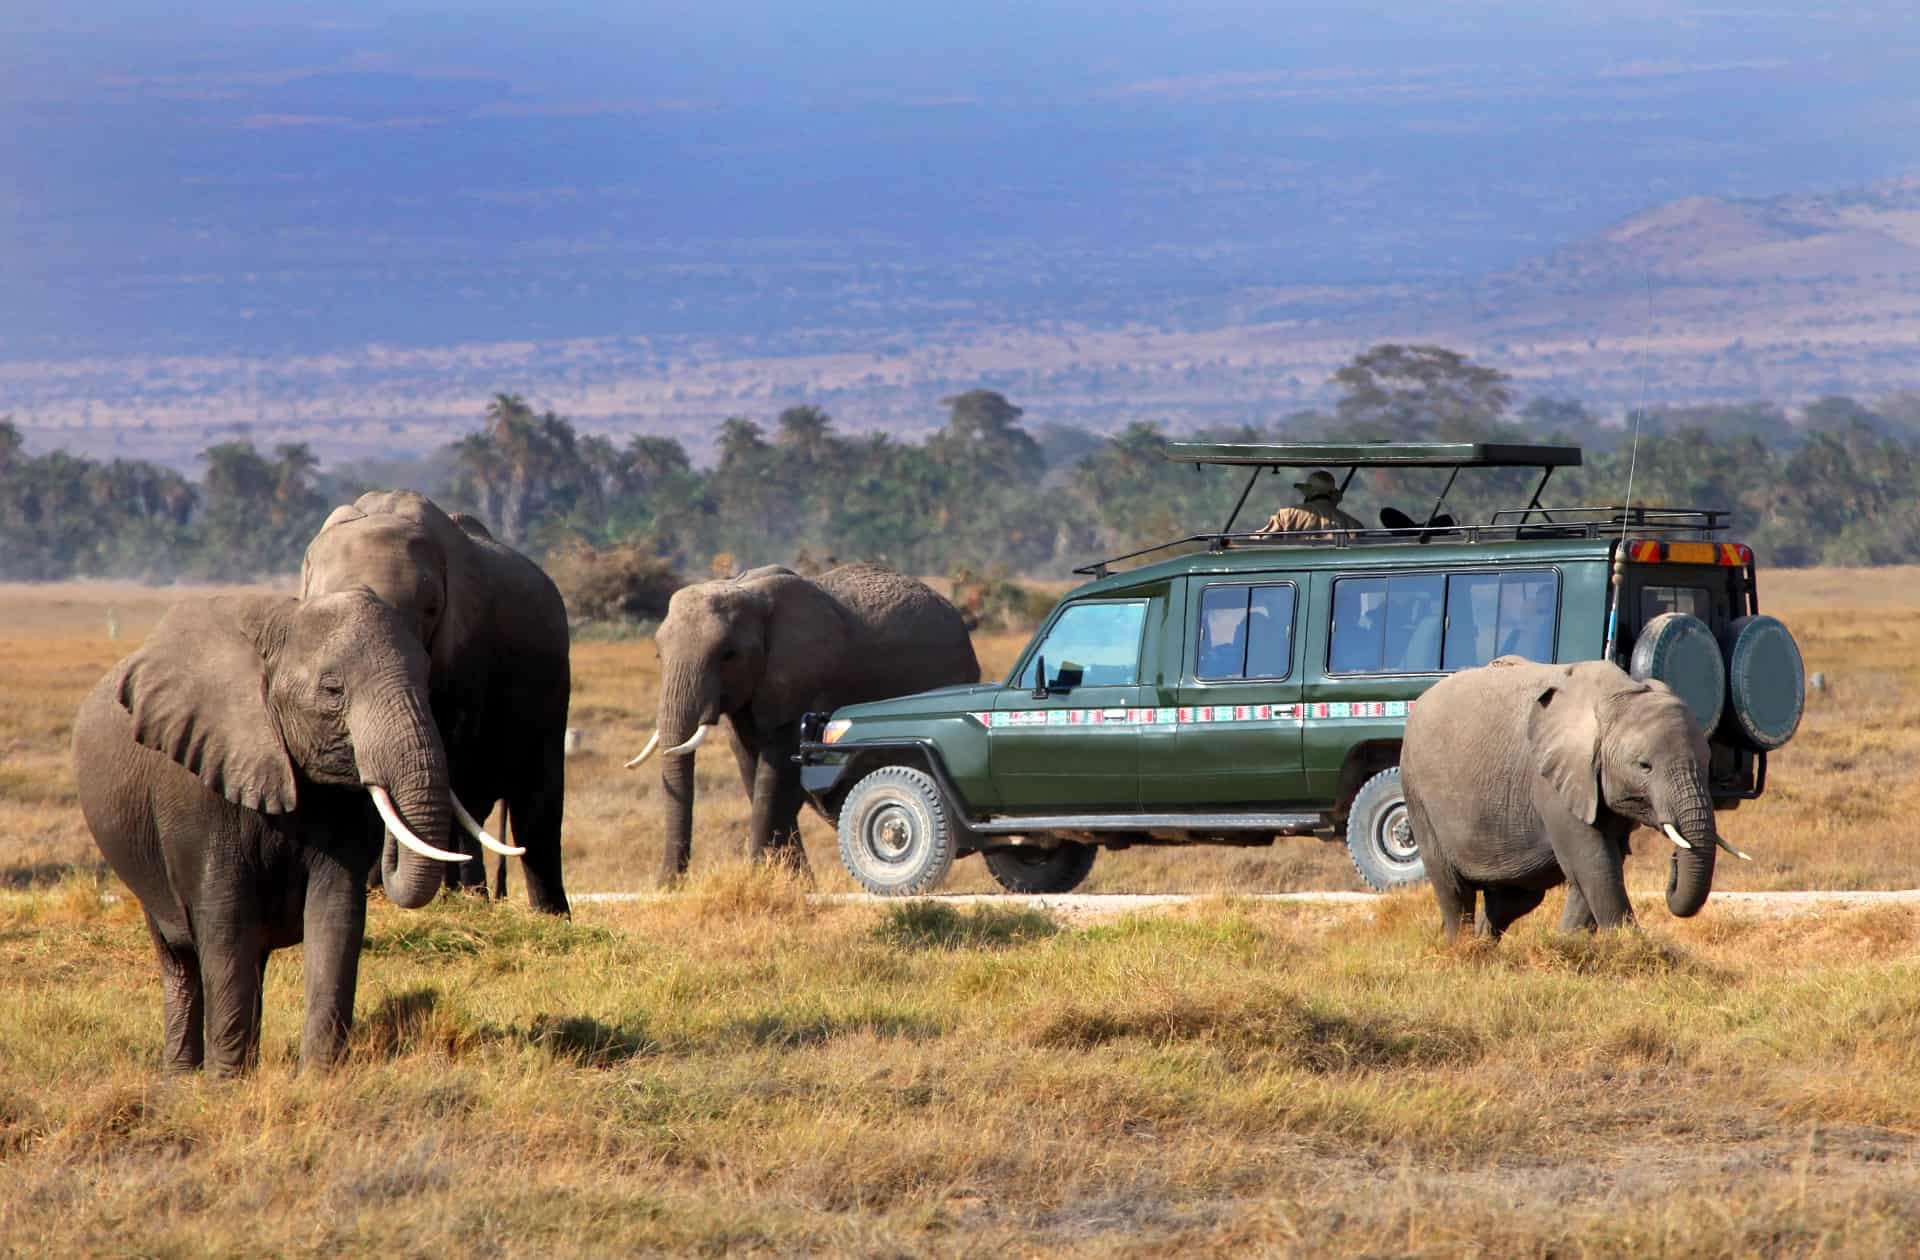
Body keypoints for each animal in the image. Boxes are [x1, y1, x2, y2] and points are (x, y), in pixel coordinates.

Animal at [74, 591, 495, 1075]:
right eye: (332, 689)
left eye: (427, 681)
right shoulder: (197, 790)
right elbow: (224, 922)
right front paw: (225, 1083)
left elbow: (336, 916)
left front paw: (317, 1077)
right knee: (180, 958)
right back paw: (182, 1077)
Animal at [629, 564, 983, 879]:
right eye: (658, 654)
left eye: (728, 655)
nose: (668, 886)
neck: (746, 590)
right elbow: (751, 768)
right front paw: (790, 882)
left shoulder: (804, 678)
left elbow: (777, 775)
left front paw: (761, 878)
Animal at [1405, 653, 1751, 941]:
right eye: (1644, 766)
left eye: (1707, 762)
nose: (1676, 860)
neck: (1617, 694)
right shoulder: (1553, 781)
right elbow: (1594, 863)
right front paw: (1629, 946)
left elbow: (1600, 865)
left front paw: (1568, 944)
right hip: (1417, 793)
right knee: (1453, 889)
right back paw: (1462, 950)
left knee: (1514, 899)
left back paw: (1483, 948)